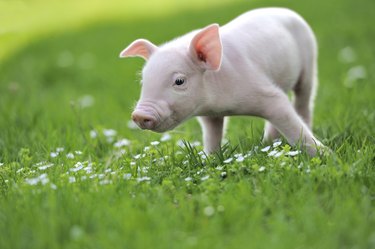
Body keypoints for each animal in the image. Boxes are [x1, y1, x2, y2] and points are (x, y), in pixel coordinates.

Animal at [119, 7, 324, 155]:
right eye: (143, 80)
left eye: (179, 81)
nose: (139, 114)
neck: (220, 105)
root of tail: (287, 10)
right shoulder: (210, 116)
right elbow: (212, 135)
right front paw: (211, 159)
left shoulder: (265, 91)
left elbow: (290, 121)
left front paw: (325, 157)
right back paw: (268, 142)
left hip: (309, 64)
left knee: (303, 101)